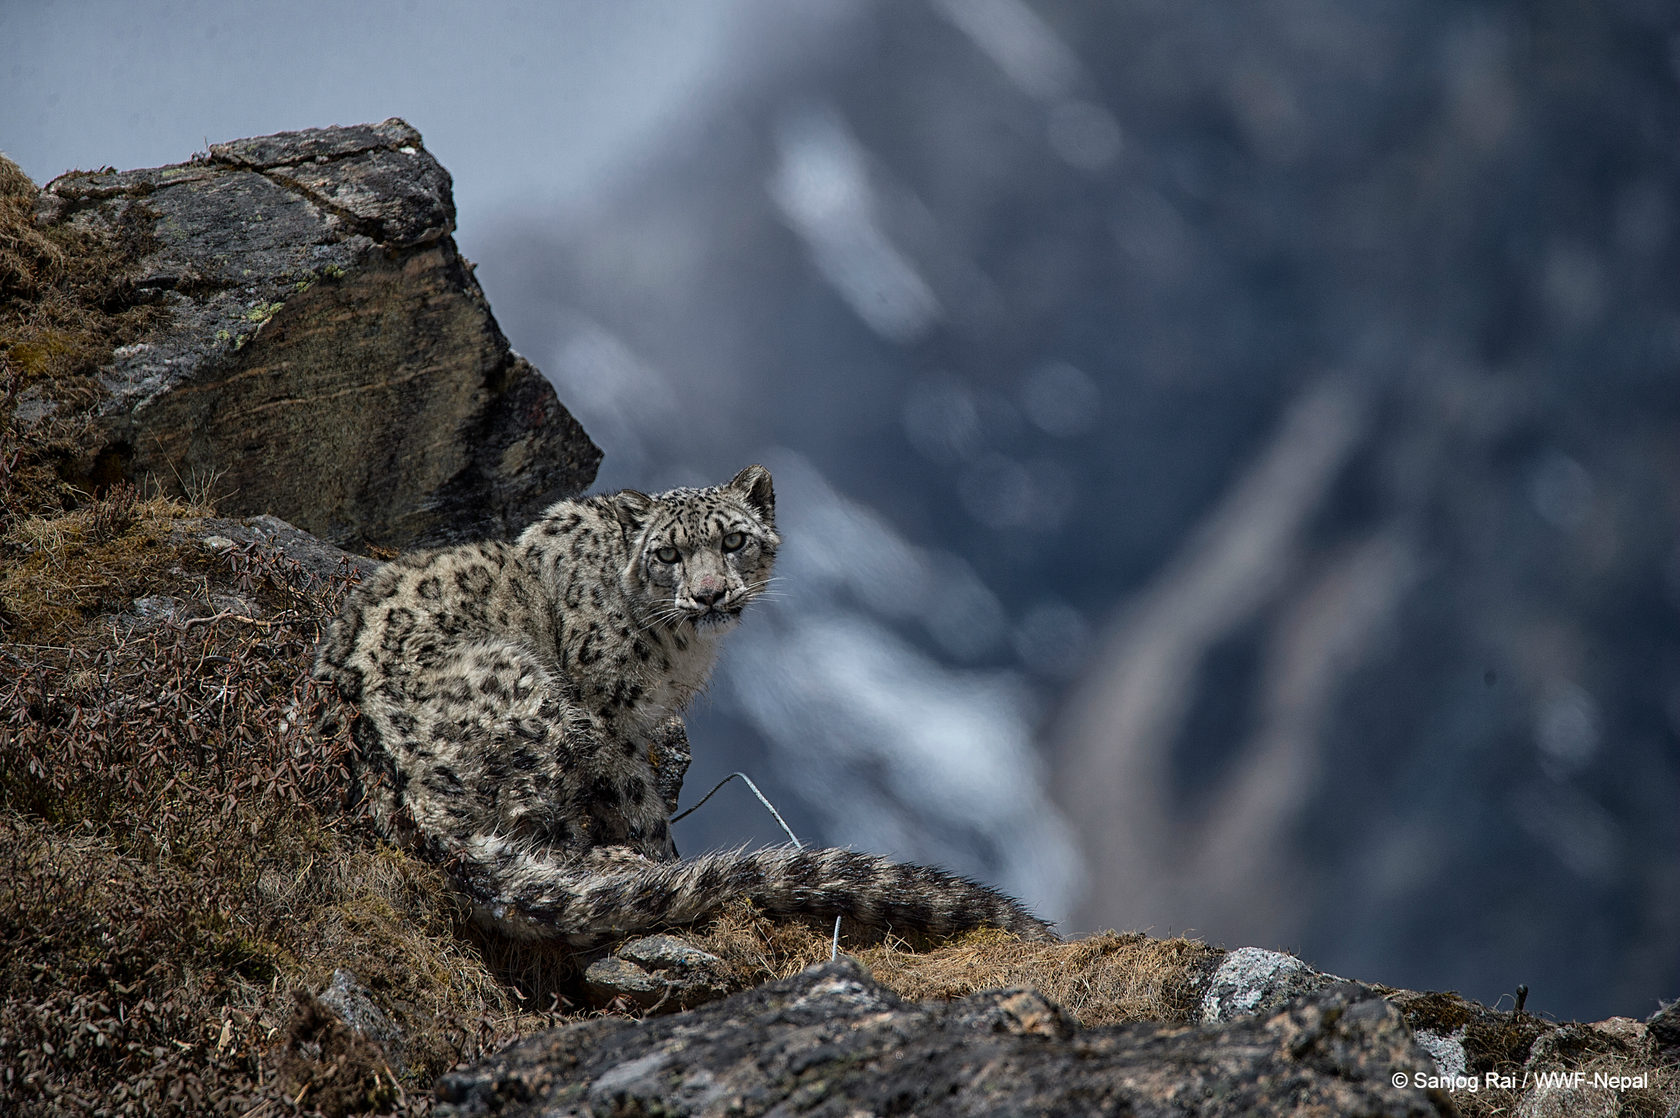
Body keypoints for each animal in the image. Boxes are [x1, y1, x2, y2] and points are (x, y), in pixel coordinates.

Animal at [314, 467, 1048, 948]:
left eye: (733, 541)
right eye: (666, 553)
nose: (708, 593)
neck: (679, 653)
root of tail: (387, 777)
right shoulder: (609, 714)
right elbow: (638, 801)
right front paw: (661, 858)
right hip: (525, 695)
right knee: (529, 831)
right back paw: (614, 867)